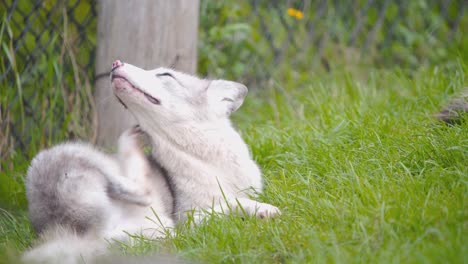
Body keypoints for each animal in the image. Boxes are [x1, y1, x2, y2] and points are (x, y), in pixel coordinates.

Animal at [111, 60, 280, 223]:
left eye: (165, 74)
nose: (115, 64)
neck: (209, 166)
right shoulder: (187, 221)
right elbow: (232, 202)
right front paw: (263, 209)